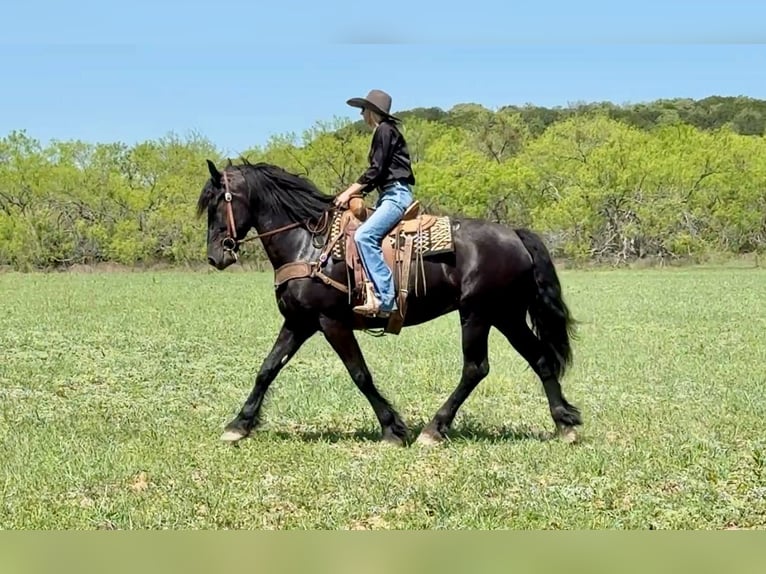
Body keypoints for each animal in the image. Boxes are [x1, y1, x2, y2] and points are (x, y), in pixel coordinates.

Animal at [196, 158, 582, 447]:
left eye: (217, 203)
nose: (215, 256)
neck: (308, 244)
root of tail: (514, 234)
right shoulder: (299, 322)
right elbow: (267, 369)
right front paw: (239, 424)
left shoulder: (331, 322)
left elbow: (360, 374)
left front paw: (393, 428)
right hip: (506, 315)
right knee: (540, 358)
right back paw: (564, 423)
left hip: (478, 314)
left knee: (476, 368)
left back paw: (434, 429)